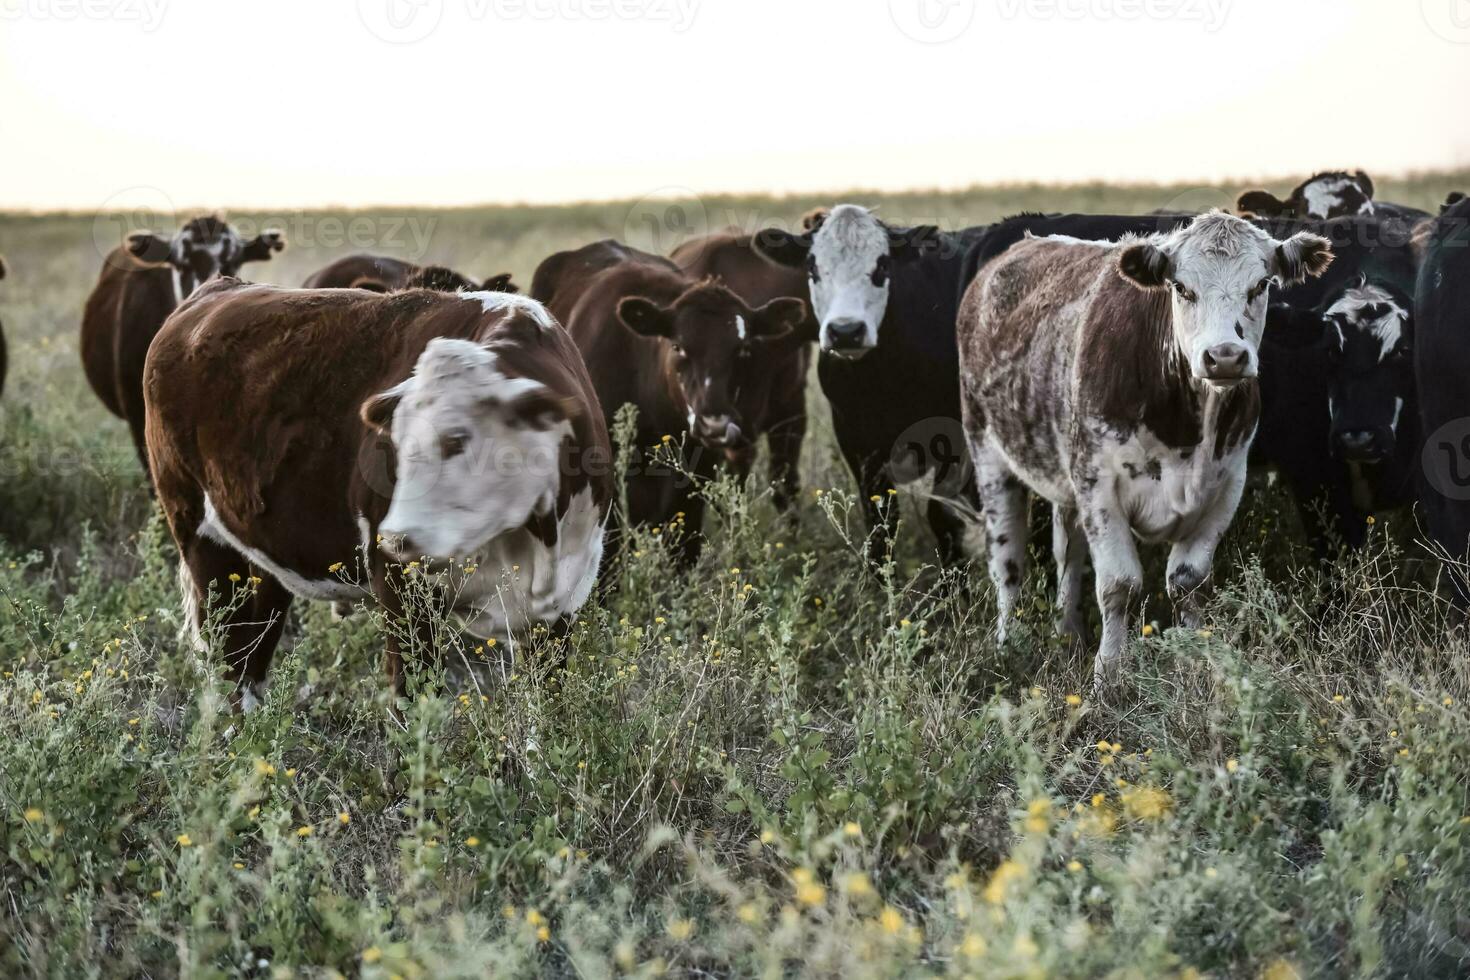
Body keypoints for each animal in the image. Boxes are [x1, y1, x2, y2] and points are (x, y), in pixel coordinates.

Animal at [144, 280, 611, 708]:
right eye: (395, 446)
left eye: (457, 439)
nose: (396, 536)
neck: (536, 541)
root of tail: (215, 290)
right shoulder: (401, 591)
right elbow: (414, 698)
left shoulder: (561, 606)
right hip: (202, 540)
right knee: (226, 654)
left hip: (264, 558)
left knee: (253, 653)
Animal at [752, 206, 989, 569]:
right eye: (812, 267)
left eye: (883, 265)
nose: (846, 331)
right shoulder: (856, 441)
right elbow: (880, 523)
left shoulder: (953, 439)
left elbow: (943, 519)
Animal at [957, 211, 1331, 688]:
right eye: (1181, 287)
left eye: (1261, 285)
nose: (1225, 356)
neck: (1187, 428)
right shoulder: (1098, 484)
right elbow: (1119, 585)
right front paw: (1108, 677)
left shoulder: (1227, 484)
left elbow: (1189, 582)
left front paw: (1198, 662)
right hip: (987, 451)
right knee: (1007, 563)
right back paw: (1007, 645)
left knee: (1067, 554)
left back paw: (1067, 635)